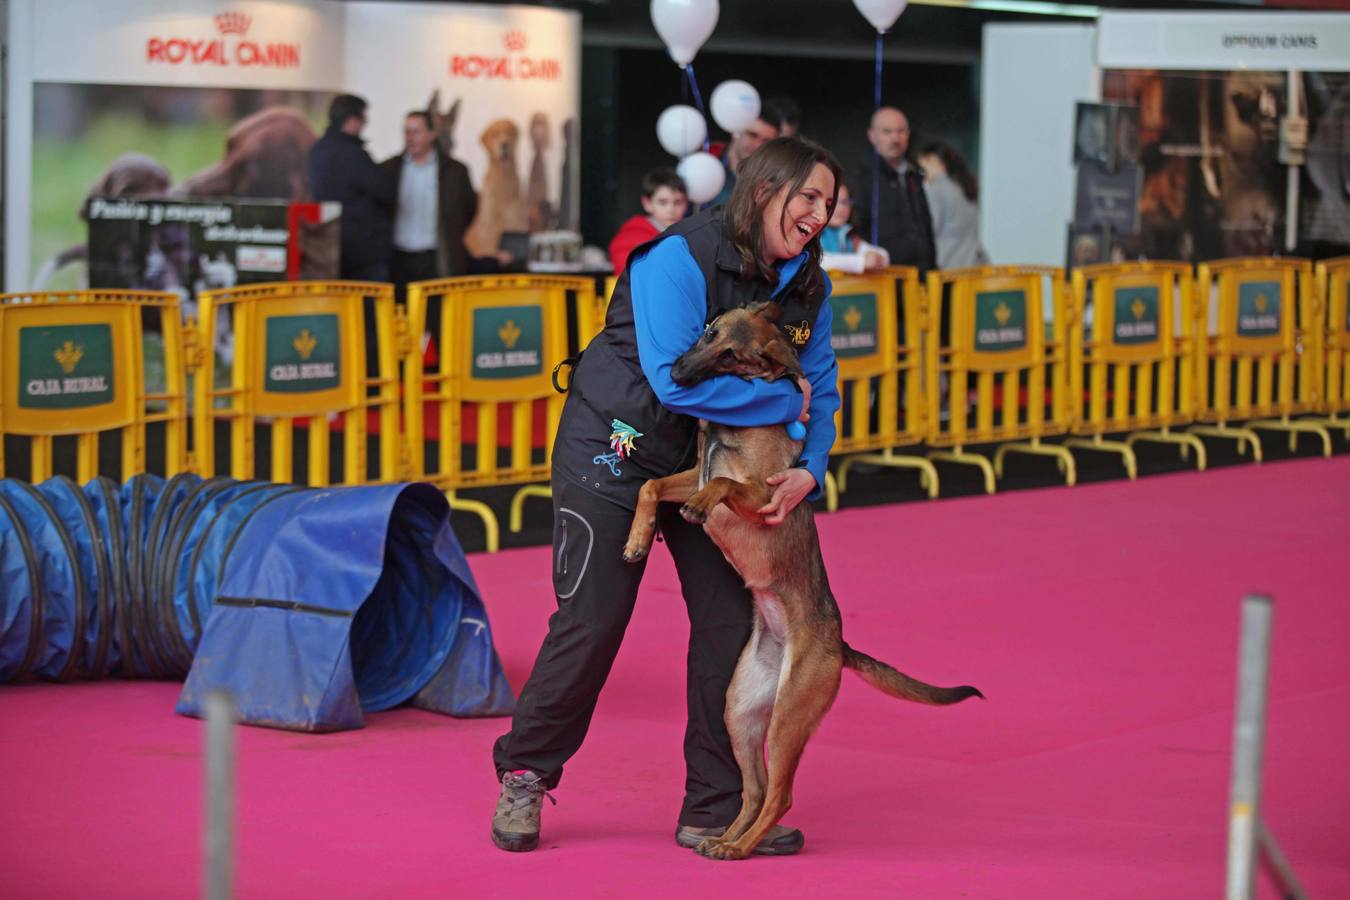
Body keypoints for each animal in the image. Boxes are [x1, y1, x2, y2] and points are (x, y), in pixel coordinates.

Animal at [621, 304, 982, 863]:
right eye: (707, 333)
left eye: (732, 356)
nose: (675, 375)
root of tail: (838, 645)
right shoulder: (688, 475)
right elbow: (649, 484)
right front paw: (638, 540)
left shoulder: (759, 495)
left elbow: (719, 483)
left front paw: (697, 510)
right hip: (740, 714)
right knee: (755, 791)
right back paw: (726, 839)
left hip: (789, 717)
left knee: (780, 795)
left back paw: (740, 848)